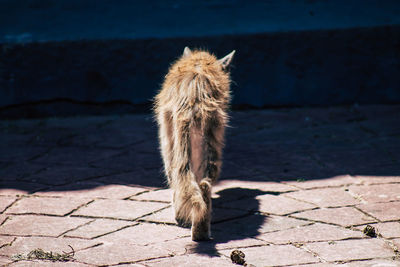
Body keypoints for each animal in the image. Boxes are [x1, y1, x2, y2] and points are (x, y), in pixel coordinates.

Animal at [153, 47, 234, 242]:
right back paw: (200, 232)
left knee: (177, 178)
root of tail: (195, 95)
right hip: (212, 141)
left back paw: (181, 218)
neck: (199, 61)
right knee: (204, 184)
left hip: (172, 140)